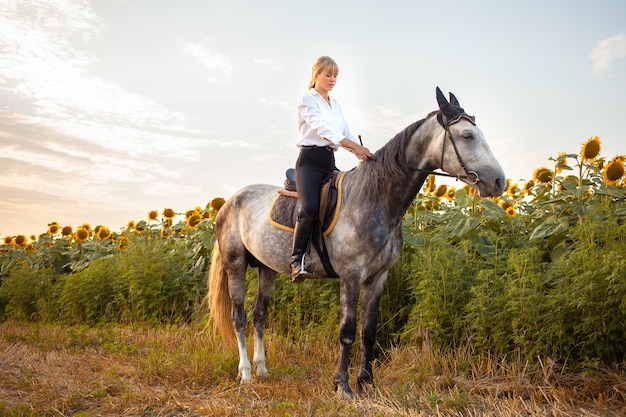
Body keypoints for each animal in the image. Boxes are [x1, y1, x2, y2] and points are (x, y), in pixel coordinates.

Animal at [207, 86, 504, 398]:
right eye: (467, 136)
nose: (499, 181)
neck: (375, 197)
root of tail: (229, 202)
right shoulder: (351, 276)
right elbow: (347, 331)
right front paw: (343, 385)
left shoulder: (377, 277)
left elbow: (368, 331)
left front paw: (367, 381)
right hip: (236, 265)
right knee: (239, 316)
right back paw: (246, 373)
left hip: (266, 269)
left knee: (259, 315)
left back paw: (262, 369)